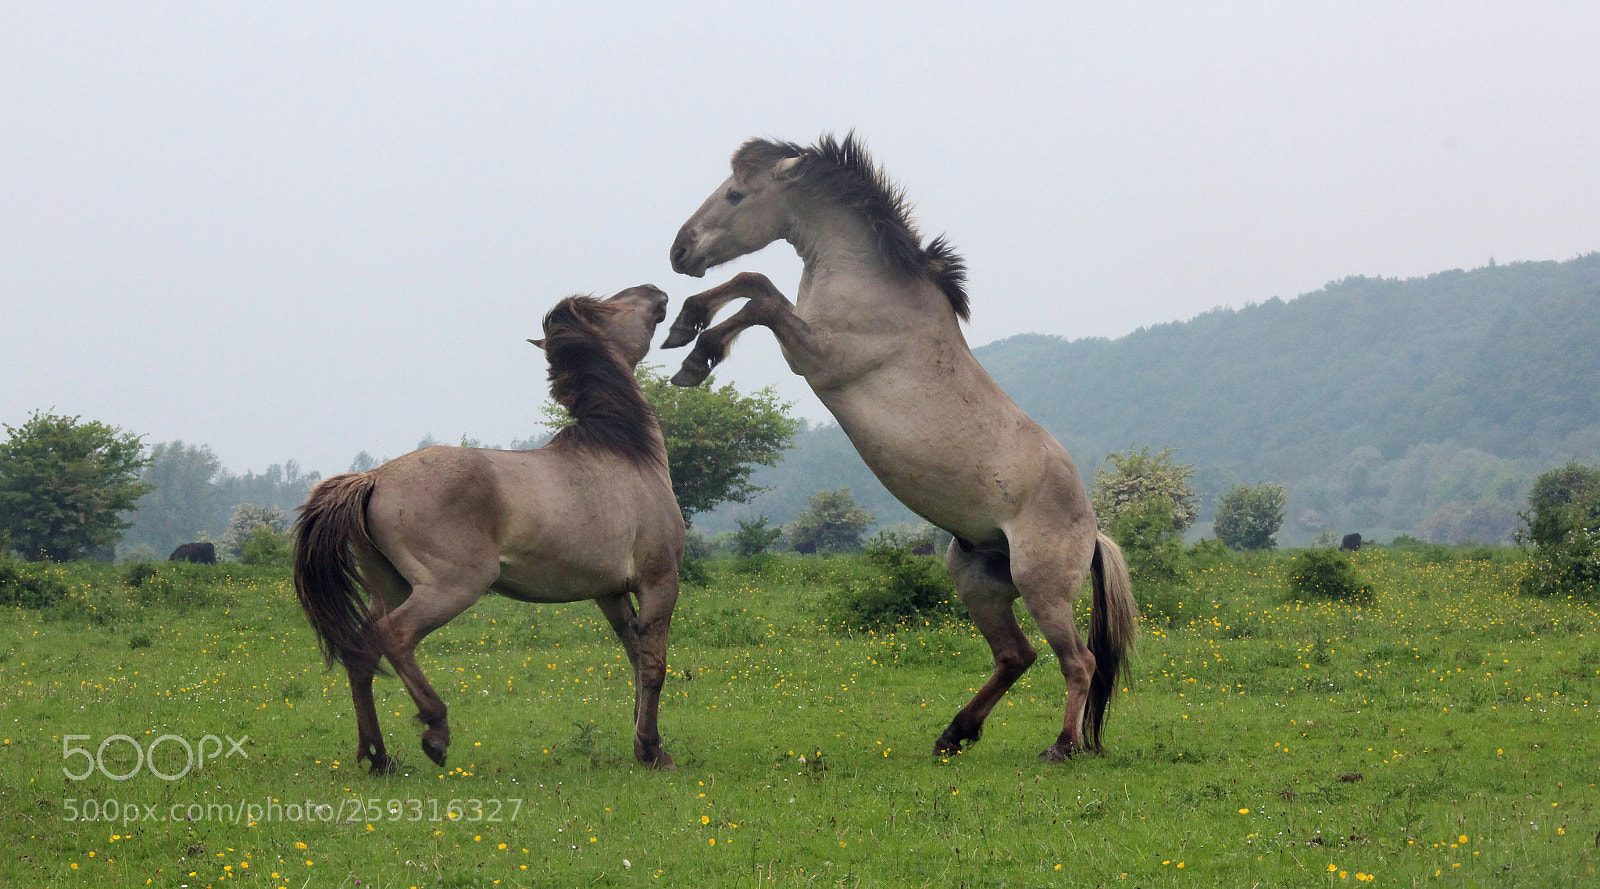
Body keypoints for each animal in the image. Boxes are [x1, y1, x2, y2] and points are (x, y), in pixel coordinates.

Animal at [292, 285, 683, 773]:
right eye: (610, 307)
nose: (657, 292)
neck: (626, 453)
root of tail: (372, 478)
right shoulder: (659, 581)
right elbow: (654, 666)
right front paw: (654, 750)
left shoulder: (609, 593)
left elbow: (634, 657)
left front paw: (641, 743)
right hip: (452, 586)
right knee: (393, 637)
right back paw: (435, 733)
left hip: (391, 586)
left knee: (361, 651)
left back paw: (380, 758)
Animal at [664, 134, 1137, 761]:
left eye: (737, 194)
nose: (679, 250)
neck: (867, 278)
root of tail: (1093, 530)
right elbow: (751, 282)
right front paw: (684, 327)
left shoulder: (819, 354)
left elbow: (760, 296)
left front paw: (698, 353)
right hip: (978, 580)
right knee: (1017, 655)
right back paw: (955, 734)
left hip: (1043, 587)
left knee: (1077, 661)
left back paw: (1061, 746)